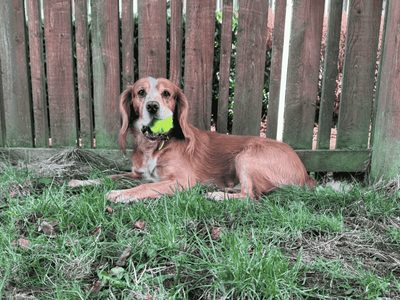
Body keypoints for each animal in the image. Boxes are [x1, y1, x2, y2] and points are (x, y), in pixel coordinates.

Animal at [67, 76, 314, 203]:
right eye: (140, 92)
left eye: (167, 94)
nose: (152, 107)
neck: (155, 145)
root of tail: (305, 172)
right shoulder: (138, 174)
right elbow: (108, 176)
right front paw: (81, 182)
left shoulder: (181, 180)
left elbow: (142, 188)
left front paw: (121, 194)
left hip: (246, 156)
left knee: (251, 196)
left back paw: (216, 194)